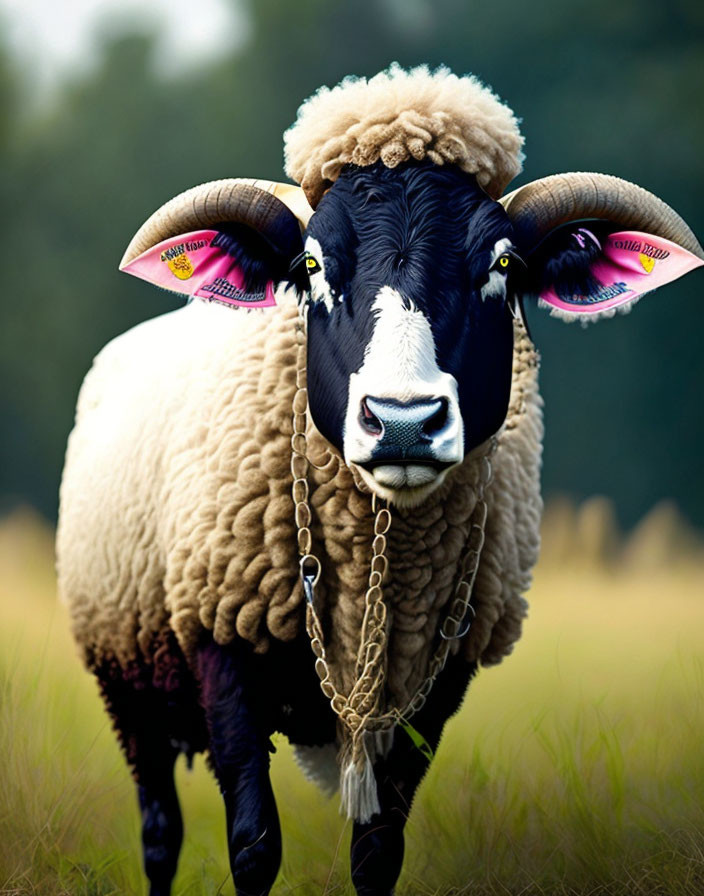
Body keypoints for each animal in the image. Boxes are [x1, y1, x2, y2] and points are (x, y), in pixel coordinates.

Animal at [56, 66, 704, 896]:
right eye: (308, 266)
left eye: (503, 265)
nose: (401, 422)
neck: (378, 564)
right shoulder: (221, 645)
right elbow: (253, 846)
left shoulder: (433, 685)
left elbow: (378, 855)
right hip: (127, 675)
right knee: (160, 831)